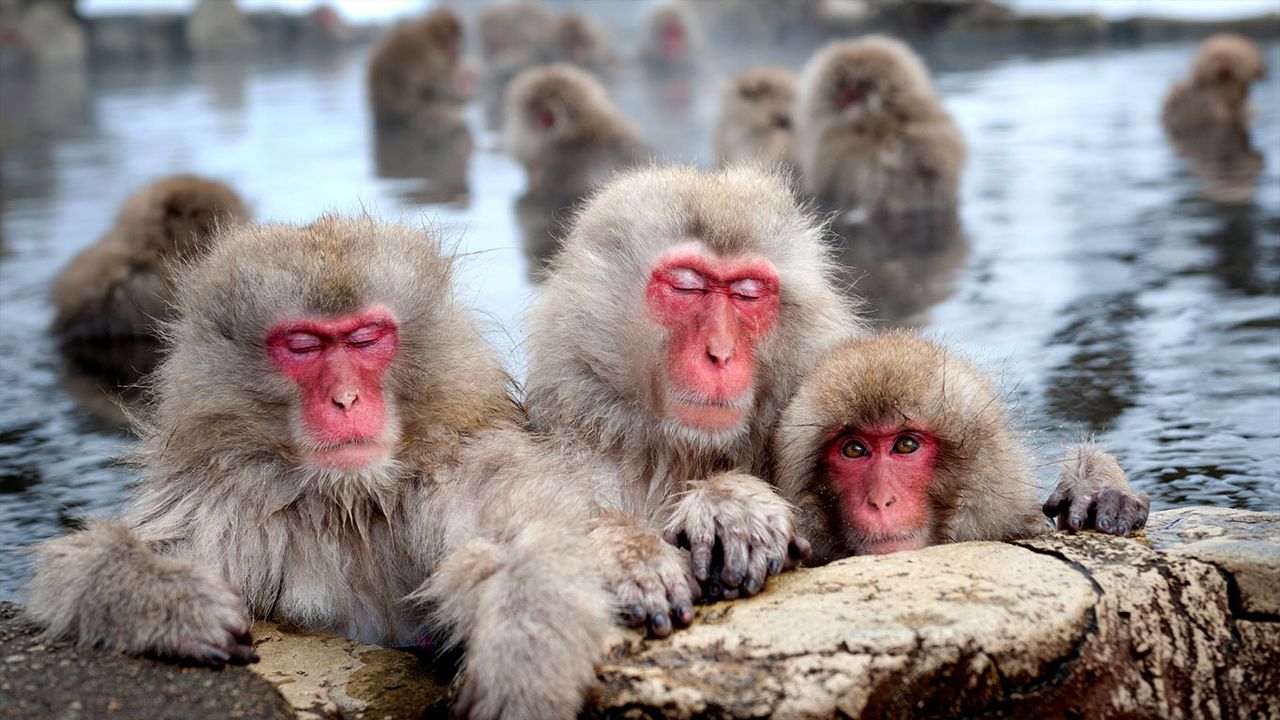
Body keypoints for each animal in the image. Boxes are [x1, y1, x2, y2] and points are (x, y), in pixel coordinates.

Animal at [27, 214, 612, 720]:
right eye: (304, 346)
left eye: (365, 338)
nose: (346, 399)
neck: (351, 499)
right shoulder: (223, 497)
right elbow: (76, 566)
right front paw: (176, 604)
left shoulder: (461, 469)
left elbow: (529, 541)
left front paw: (522, 661)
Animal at [367, 7, 470, 136]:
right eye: (452, 43)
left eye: (457, 42)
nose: (457, 54)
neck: (430, 37)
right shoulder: (432, 60)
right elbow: (443, 86)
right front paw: (462, 92)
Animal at [525, 163, 866, 636]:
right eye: (686, 287)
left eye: (747, 293)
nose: (720, 353)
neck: (679, 454)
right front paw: (630, 552)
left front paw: (732, 503)